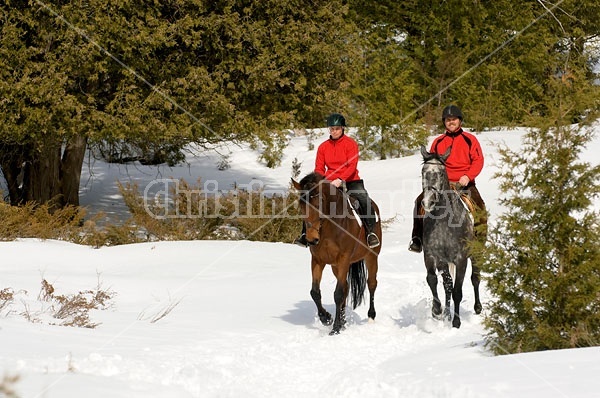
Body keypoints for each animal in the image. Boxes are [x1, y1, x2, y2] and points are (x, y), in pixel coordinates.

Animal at [290, 173, 380, 334]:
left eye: (319, 203)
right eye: (301, 205)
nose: (311, 239)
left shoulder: (343, 258)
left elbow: (337, 294)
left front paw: (336, 327)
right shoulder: (318, 260)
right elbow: (315, 292)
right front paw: (326, 318)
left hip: (371, 257)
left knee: (371, 284)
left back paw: (370, 317)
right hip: (335, 266)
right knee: (346, 287)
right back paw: (343, 321)